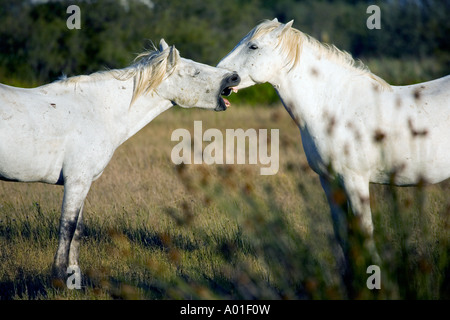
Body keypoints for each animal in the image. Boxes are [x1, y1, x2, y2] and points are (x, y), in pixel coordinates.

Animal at [0, 39, 241, 280]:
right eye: (195, 72)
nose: (234, 77)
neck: (95, 111)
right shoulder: (76, 181)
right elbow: (67, 228)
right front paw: (59, 276)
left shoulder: (83, 183)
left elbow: (77, 231)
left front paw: (74, 275)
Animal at [216, 18, 448, 268]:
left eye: (253, 46)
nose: (223, 79)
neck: (337, 106)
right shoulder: (329, 181)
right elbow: (341, 232)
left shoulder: (355, 181)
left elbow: (364, 230)